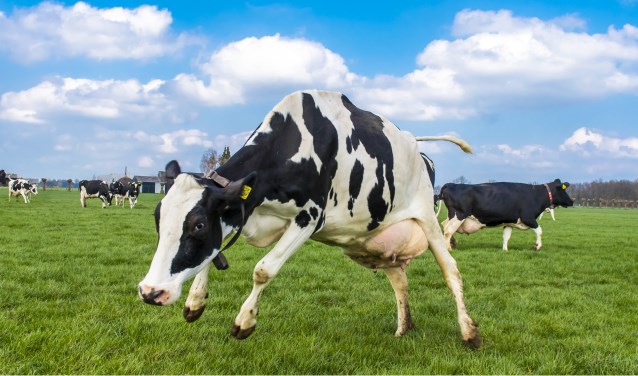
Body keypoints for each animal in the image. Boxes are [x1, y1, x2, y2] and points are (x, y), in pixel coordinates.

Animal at [138, 89, 482, 348]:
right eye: (158, 220)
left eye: (198, 225)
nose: (151, 292)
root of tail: (414, 144)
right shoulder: (242, 211)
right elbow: (212, 253)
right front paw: (196, 301)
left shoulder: (310, 217)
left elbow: (263, 270)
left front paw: (245, 320)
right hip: (377, 243)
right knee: (400, 280)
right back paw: (403, 327)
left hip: (428, 218)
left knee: (452, 272)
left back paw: (469, 333)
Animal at [440, 178, 576, 251]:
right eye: (564, 190)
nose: (572, 201)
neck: (536, 194)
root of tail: (451, 184)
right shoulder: (529, 218)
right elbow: (540, 231)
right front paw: (537, 246)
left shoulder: (509, 221)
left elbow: (506, 236)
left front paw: (505, 249)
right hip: (459, 215)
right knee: (447, 231)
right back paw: (448, 248)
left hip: (452, 216)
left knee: (444, 226)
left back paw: (452, 243)